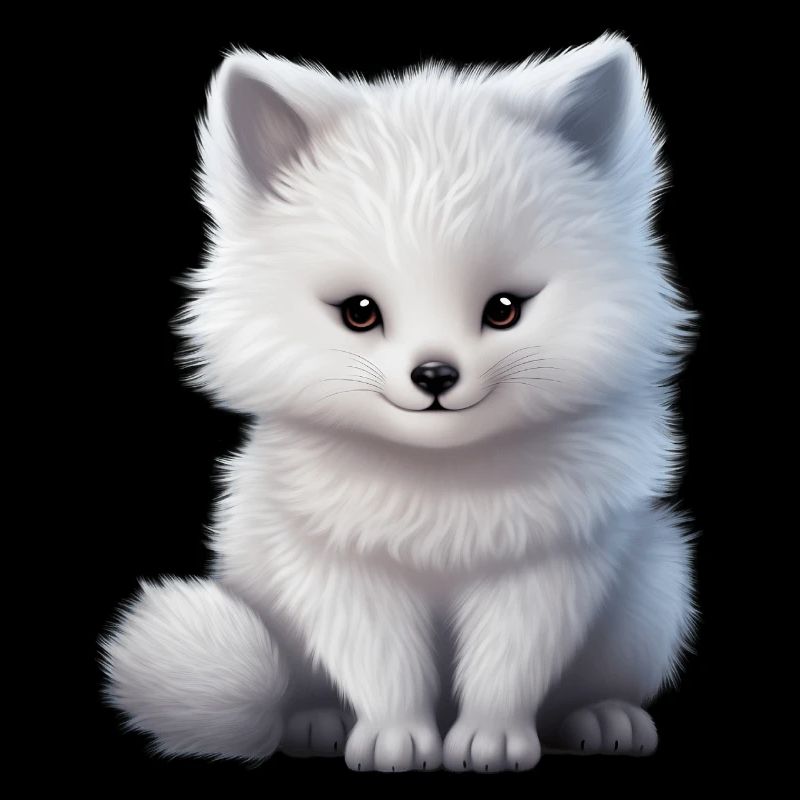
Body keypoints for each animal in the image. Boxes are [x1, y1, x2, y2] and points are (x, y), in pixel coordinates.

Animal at [100, 33, 697, 772]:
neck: (439, 493)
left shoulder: (543, 566)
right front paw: (397, 741)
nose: (434, 374)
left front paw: (490, 742)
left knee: (590, 686)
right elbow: (383, 668)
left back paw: (605, 719)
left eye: (504, 309)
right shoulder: (342, 568)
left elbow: (508, 667)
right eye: (360, 312)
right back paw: (316, 724)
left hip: (656, 582)